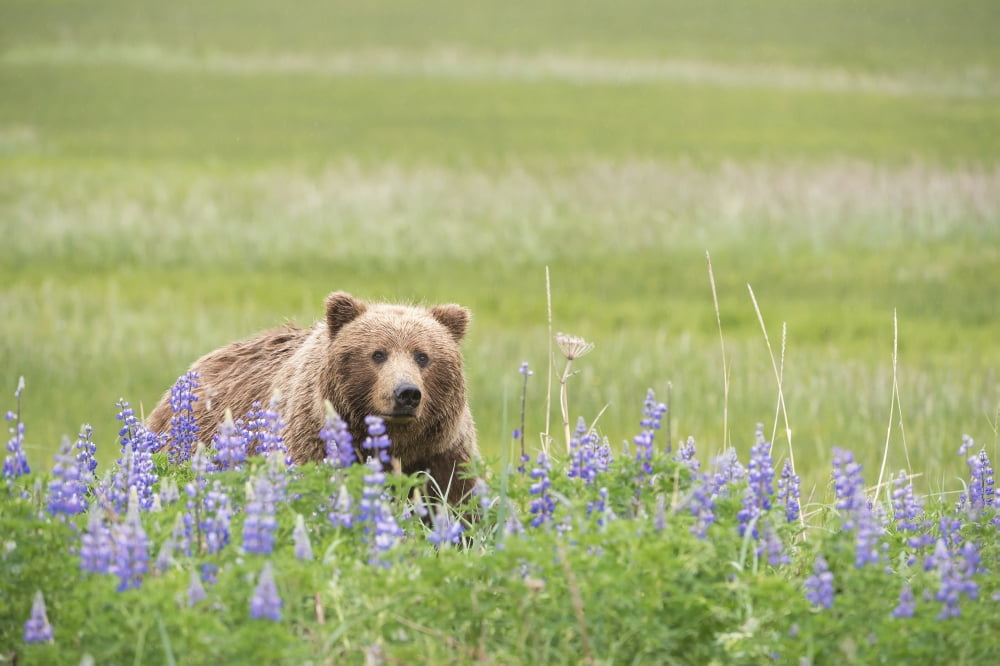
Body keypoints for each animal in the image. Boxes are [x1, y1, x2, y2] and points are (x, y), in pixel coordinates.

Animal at [146, 291, 479, 505]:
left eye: (423, 356)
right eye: (378, 354)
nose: (406, 393)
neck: (396, 443)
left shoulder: (442, 453)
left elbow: (459, 506)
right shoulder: (312, 442)